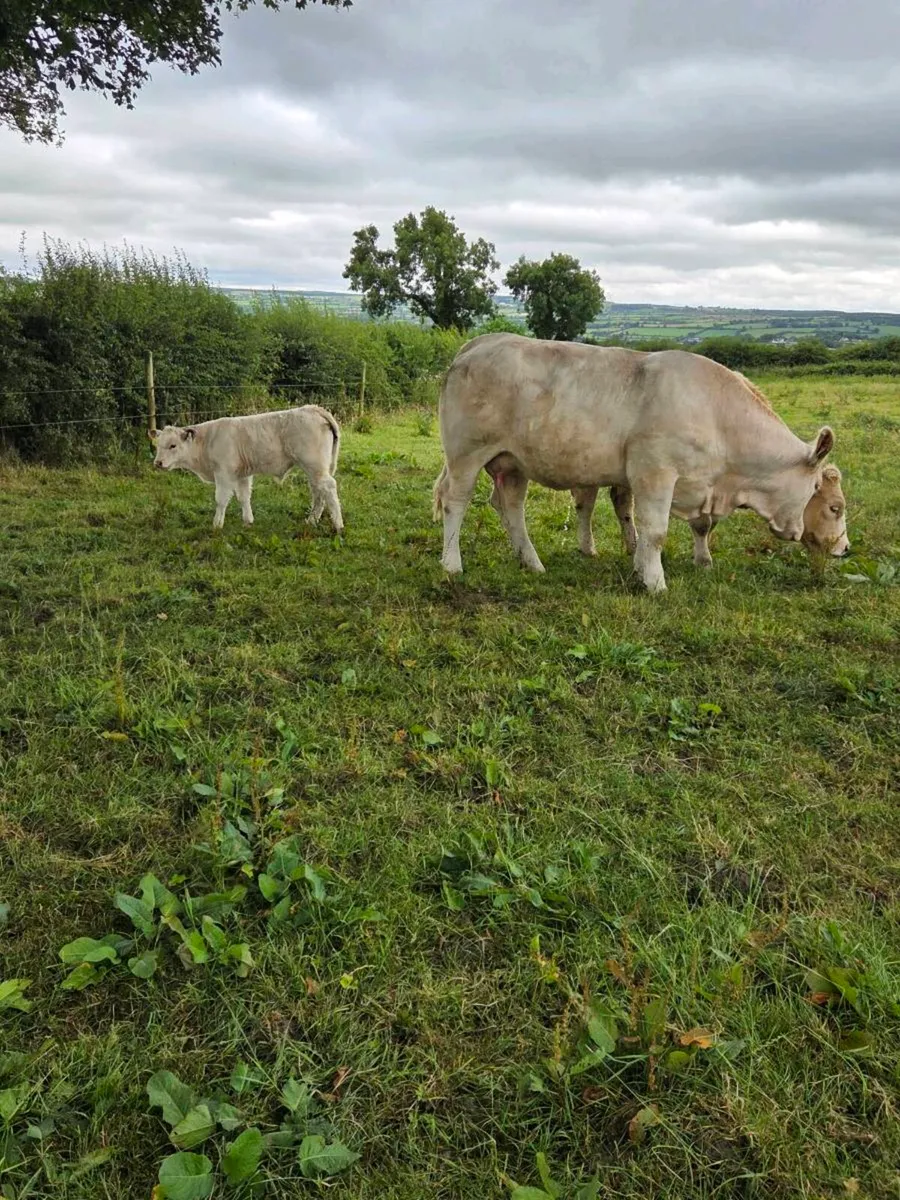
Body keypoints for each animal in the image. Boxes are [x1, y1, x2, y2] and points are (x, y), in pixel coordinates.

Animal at [151, 405, 343, 532]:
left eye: (173, 445)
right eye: (158, 445)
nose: (158, 463)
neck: (207, 441)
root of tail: (313, 408)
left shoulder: (224, 474)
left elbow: (221, 500)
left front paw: (217, 525)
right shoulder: (242, 475)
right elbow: (244, 497)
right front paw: (248, 521)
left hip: (314, 465)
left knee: (328, 487)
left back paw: (338, 525)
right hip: (315, 469)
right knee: (318, 491)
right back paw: (311, 521)